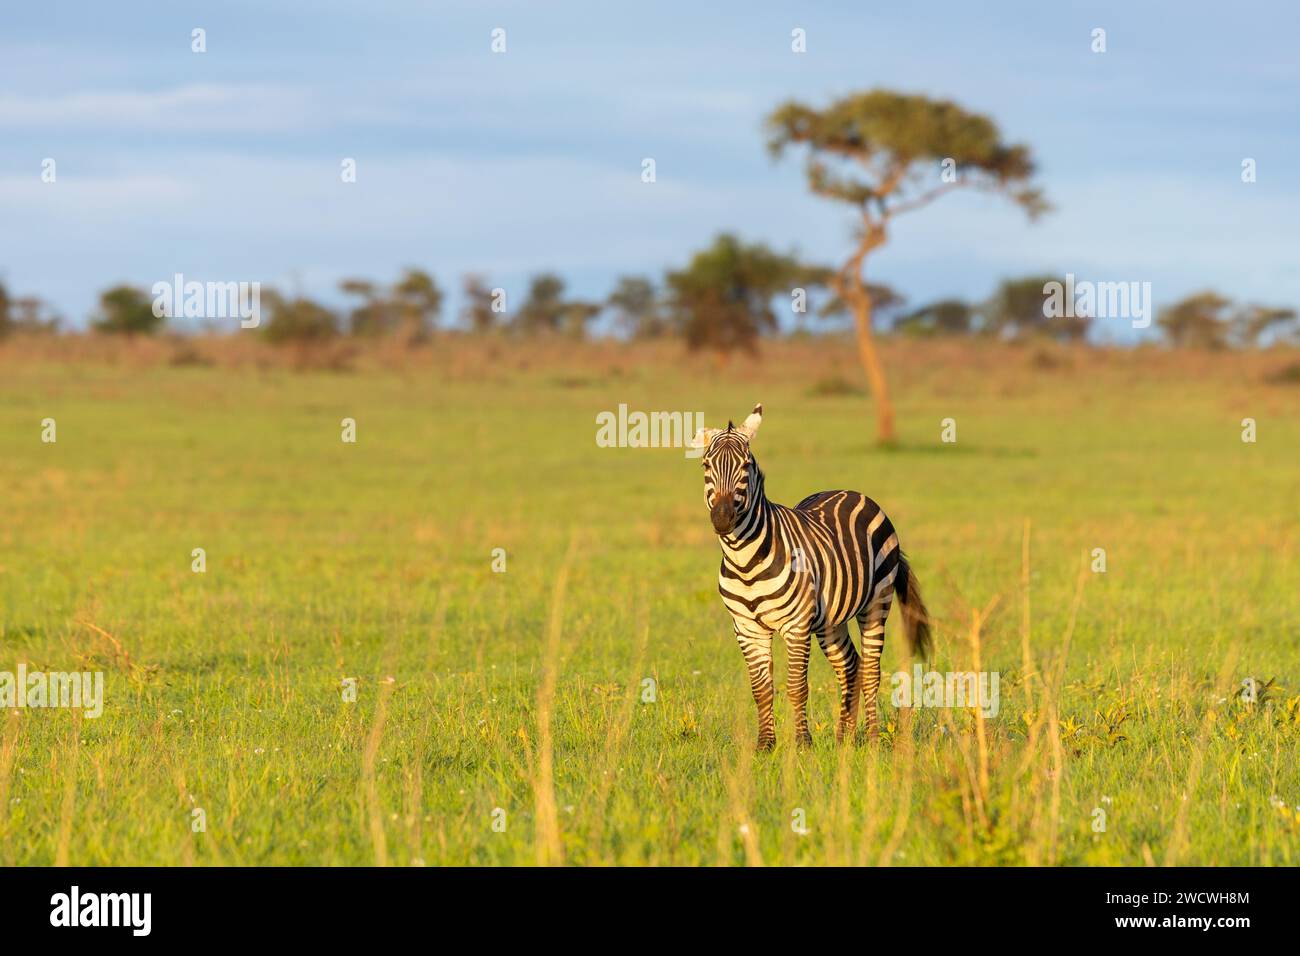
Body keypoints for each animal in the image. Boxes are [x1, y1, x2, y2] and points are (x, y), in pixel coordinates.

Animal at [696, 400, 930, 749]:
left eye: (746, 466)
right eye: (706, 466)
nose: (722, 519)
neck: (745, 561)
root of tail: (850, 491)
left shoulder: (796, 626)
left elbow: (797, 687)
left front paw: (802, 744)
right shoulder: (747, 628)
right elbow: (761, 690)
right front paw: (765, 745)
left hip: (876, 603)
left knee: (871, 670)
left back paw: (873, 738)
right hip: (829, 621)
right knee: (851, 665)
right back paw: (844, 737)